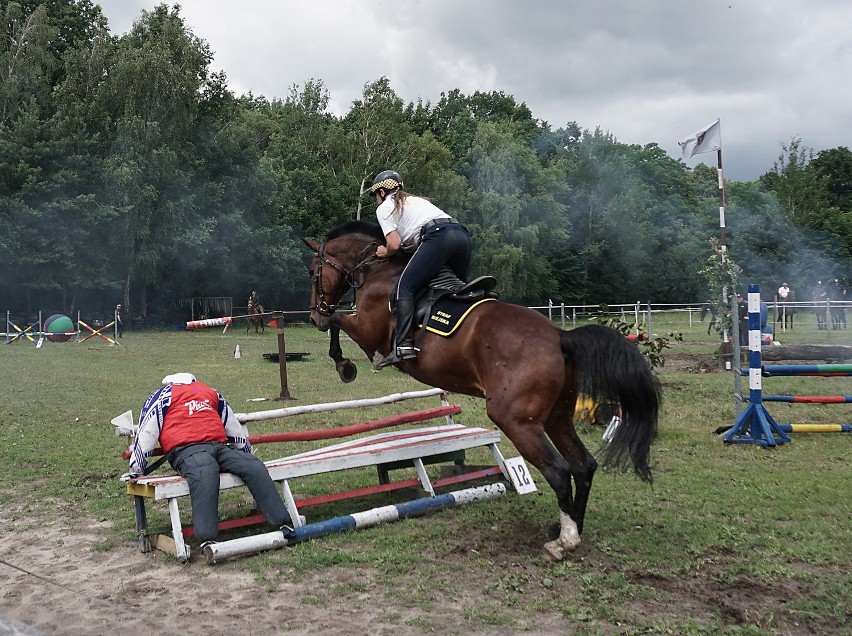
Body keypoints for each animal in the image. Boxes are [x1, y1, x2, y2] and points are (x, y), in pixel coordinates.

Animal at [302, 221, 664, 560]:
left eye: (311, 271)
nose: (313, 315)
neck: (377, 268)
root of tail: (561, 336)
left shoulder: (366, 328)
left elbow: (338, 322)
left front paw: (343, 364)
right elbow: (338, 322)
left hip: (516, 421)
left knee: (559, 471)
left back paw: (563, 542)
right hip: (557, 417)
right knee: (583, 465)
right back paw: (573, 527)